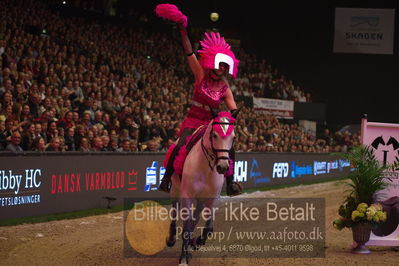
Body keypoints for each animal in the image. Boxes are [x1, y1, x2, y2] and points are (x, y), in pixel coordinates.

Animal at [166, 110, 238, 266]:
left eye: (233, 137)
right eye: (214, 135)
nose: (223, 167)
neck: (206, 166)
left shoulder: (213, 198)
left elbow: (208, 228)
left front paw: (197, 241)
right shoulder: (187, 196)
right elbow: (186, 229)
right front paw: (183, 260)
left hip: (200, 199)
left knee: (196, 216)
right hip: (175, 190)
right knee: (174, 211)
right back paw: (171, 239)